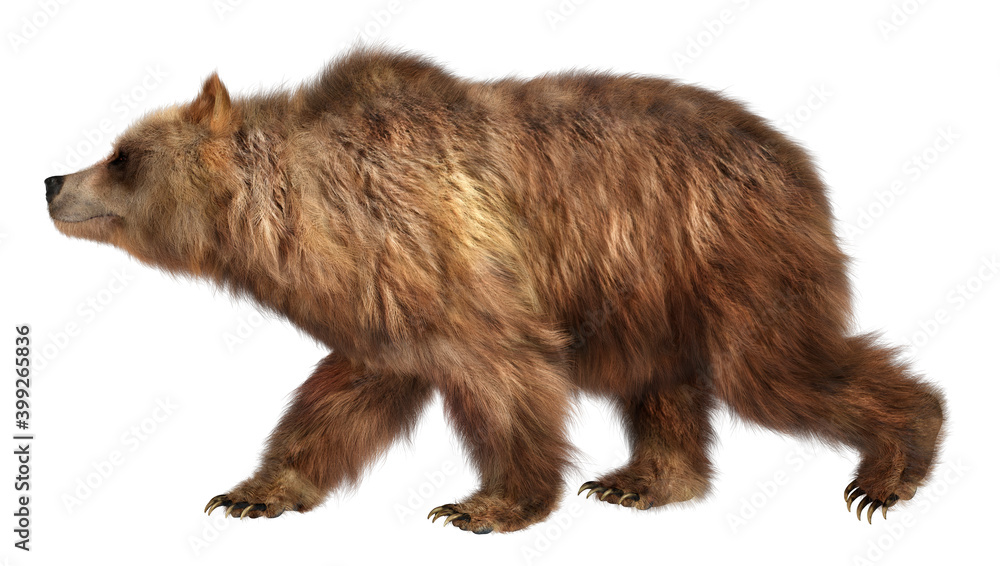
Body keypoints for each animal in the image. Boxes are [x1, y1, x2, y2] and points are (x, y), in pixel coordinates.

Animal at [46, 48, 945, 533]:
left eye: (121, 154)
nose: (53, 181)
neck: (312, 217)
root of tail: (799, 160)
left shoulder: (445, 261)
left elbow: (505, 374)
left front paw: (484, 505)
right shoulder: (384, 304)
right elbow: (341, 399)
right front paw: (253, 493)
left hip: (724, 253)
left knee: (775, 369)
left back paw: (890, 467)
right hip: (648, 293)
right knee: (666, 385)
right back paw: (641, 479)